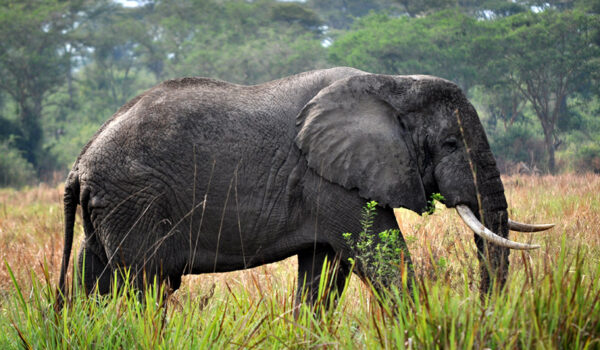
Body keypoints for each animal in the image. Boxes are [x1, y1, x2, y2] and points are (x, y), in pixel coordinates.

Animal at [57, 67, 552, 308]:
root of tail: (79, 164)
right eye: (450, 143)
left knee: (91, 277)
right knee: (146, 284)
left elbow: (324, 274)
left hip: (110, 206)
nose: (482, 308)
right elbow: (382, 257)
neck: (392, 83)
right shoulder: (331, 181)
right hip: (135, 200)